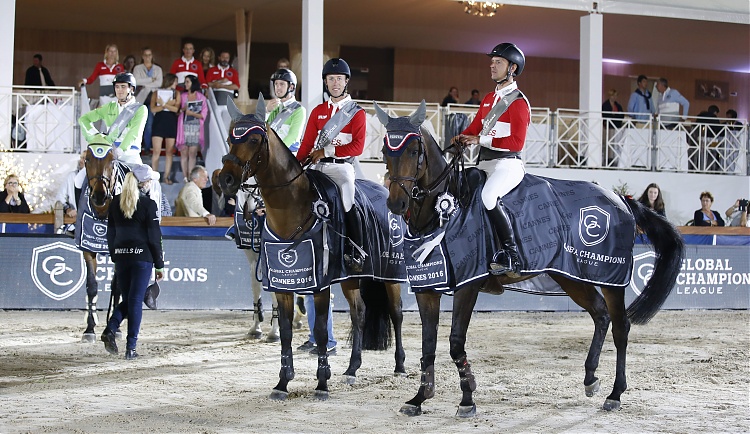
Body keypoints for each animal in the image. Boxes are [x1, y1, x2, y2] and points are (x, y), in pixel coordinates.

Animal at [217, 98, 406, 400]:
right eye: (229, 139)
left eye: (254, 139)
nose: (226, 180)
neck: (291, 207)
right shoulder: (281, 282)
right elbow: (284, 331)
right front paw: (282, 382)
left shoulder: (320, 284)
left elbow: (319, 330)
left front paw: (322, 383)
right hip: (351, 278)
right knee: (359, 313)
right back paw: (352, 369)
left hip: (391, 273)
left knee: (396, 312)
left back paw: (400, 366)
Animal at [378, 101, 684, 418]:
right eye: (386, 151)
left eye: (414, 151)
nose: (396, 204)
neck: (446, 209)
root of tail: (621, 199)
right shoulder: (426, 288)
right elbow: (428, 345)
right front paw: (419, 398)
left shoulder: (468, 285)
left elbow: (455, 342)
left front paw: (467, 399)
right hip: (571, 277)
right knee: (600, 314)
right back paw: (590, 379)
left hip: (610, 277)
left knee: (621, 326)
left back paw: (615, 394)